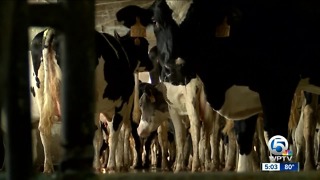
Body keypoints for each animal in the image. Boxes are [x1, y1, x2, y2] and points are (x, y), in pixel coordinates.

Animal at [29, 27, 152, 172]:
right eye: (145, 46)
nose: (151, 64)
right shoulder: (122, 105)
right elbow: (115, 135)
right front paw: (114, 165)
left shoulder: (98, 110)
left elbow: (98, 136)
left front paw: (99, 165)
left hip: (42, 95)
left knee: (44, 129)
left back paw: (48, 167)